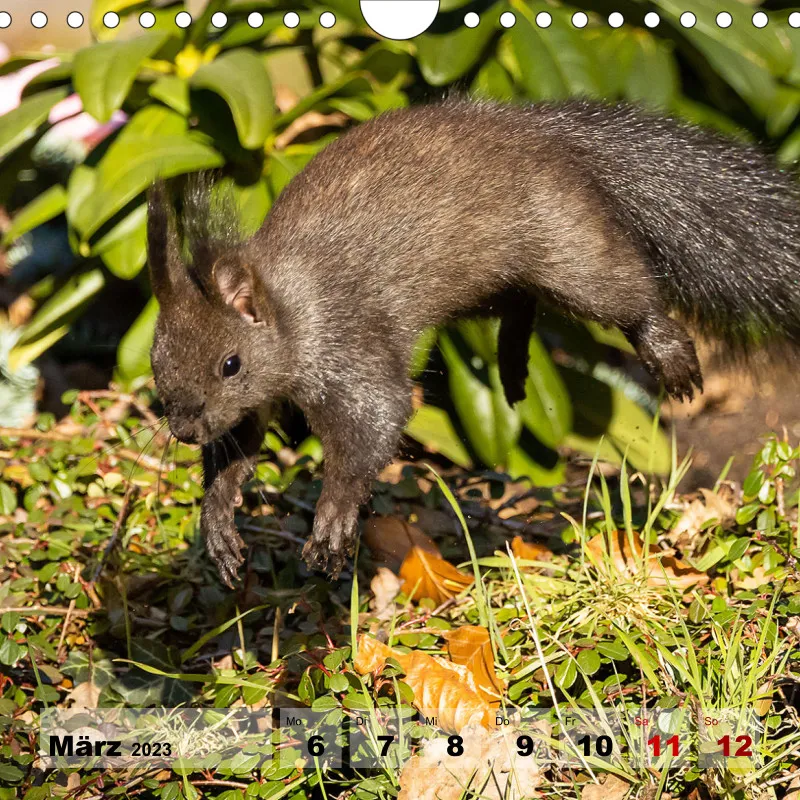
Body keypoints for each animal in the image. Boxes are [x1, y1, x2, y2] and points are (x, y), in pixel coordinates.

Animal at [146, 98, 800, 587]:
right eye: (157, 363)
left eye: (231, 364)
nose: (183, 429)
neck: (288, 312)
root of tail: (542, 132)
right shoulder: (254, 405)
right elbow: (236, 450)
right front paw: (219, 521)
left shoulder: (347, 345)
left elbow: (376, 421)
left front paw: (333, 519)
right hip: (481, 286)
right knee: (520, 301)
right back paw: (512, 360)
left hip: (567, 245)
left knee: (624, 295)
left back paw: (669, 355)